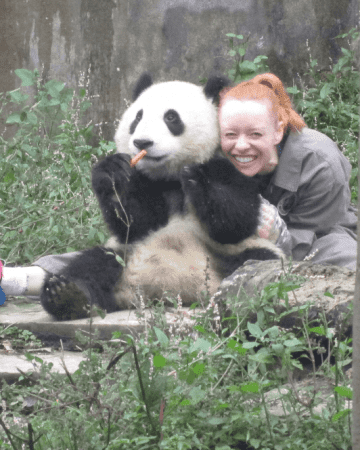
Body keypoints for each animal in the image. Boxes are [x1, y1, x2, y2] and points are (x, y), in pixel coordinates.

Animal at [40, 73, 284, 320]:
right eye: (137, 117)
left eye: (171, 117)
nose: (142, 142)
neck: (170, 177)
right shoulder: (148, 188)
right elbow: (134, 222)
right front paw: (113, 172)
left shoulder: (232, 170)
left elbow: (234, 221)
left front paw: (198, 176)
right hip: (126, 251)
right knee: (93, 264)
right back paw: (67, 295)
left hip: (238, 253)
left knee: (257, 263)